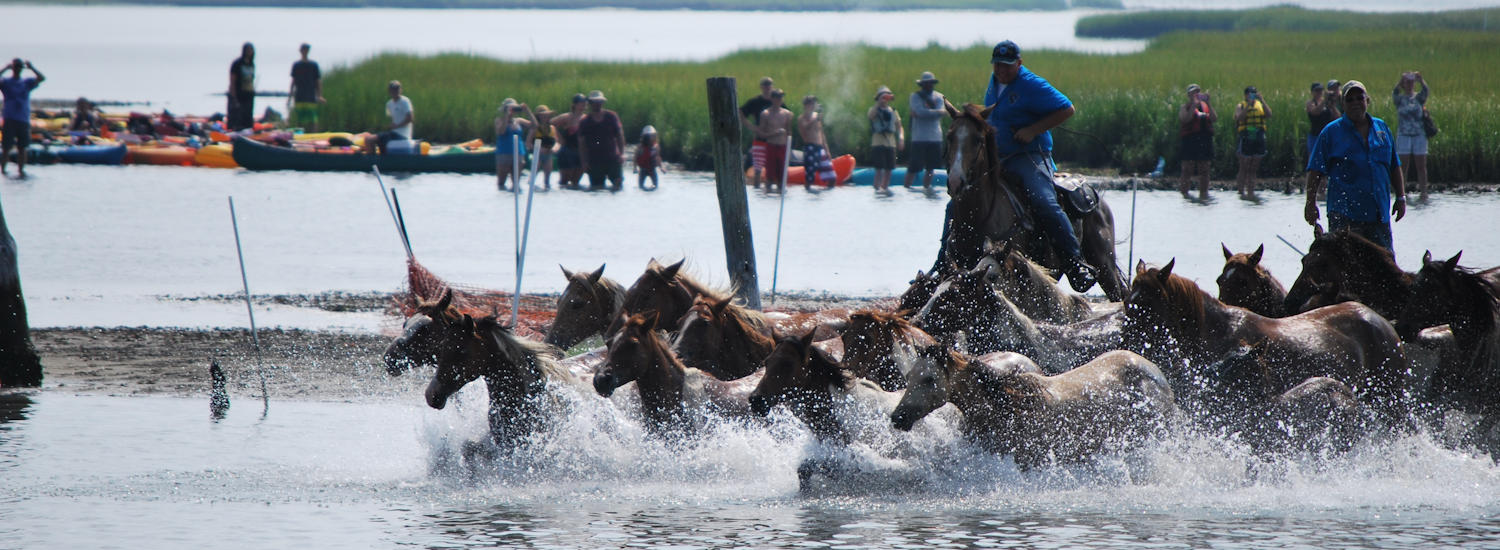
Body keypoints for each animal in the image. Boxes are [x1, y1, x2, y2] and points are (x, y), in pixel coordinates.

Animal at [936, 103, 1128, 301]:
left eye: (977, 139)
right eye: (950, 136)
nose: (955, 181)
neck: (977, 220)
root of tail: (1095, 198)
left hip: (1105, 265)